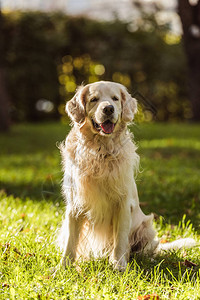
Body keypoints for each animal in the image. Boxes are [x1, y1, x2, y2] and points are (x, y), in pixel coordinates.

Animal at [57, 81, 195, 270]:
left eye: (115, 98)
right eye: (94, 99)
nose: (108, 108)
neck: (101, 151)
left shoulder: (122, 203)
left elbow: (120, 239)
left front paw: (118, 265)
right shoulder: (75, 204)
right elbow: (71, 241)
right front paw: (63, 267)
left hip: (145, 226)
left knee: (147, 249)